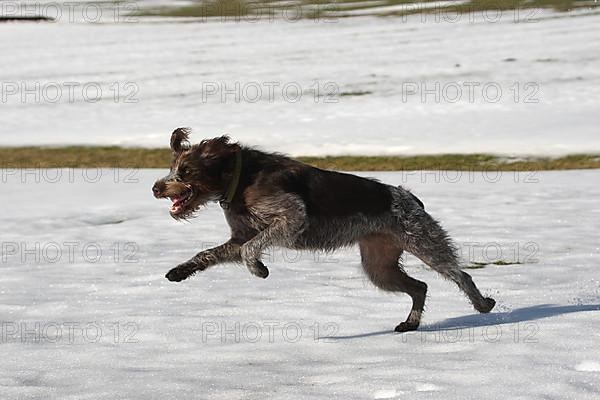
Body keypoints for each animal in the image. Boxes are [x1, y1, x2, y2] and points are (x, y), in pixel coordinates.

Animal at [152, 128, 494, 332]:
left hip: (424, 241)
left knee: (461, 276)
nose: (156, 188)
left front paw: (259, 268)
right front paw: (181, 270)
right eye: (172, 169)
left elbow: (252, 248)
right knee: (420, 287)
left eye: (186, 171)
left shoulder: (291, 218)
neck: (240, 178)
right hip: (379, 266)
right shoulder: (239, 237)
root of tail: (408, 196)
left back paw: (482, 304)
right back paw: (410, 324)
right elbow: (208, 254)